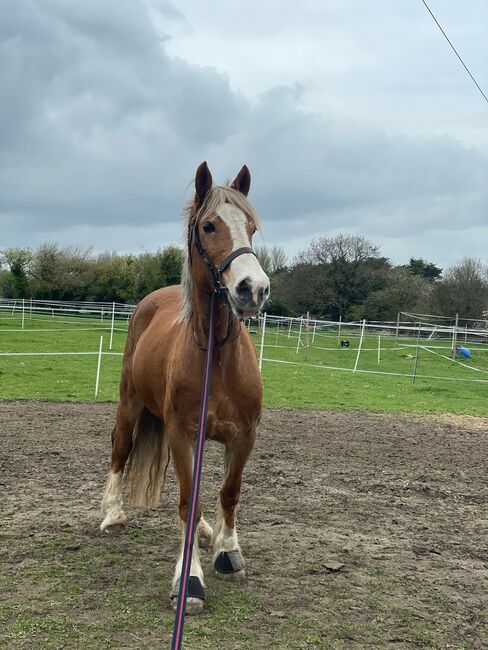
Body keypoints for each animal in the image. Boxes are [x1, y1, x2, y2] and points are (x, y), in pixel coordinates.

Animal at [99, 159, 270, 612]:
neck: (217, 359)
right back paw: (112, 514)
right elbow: (187, 502)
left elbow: (229, 492)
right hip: (130, 404)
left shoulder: (243, 436)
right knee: (120, 449)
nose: (253, 289)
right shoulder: (180, 434)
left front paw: (227, 550)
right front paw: (189, 578)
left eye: (251, 226)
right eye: (209, 226)